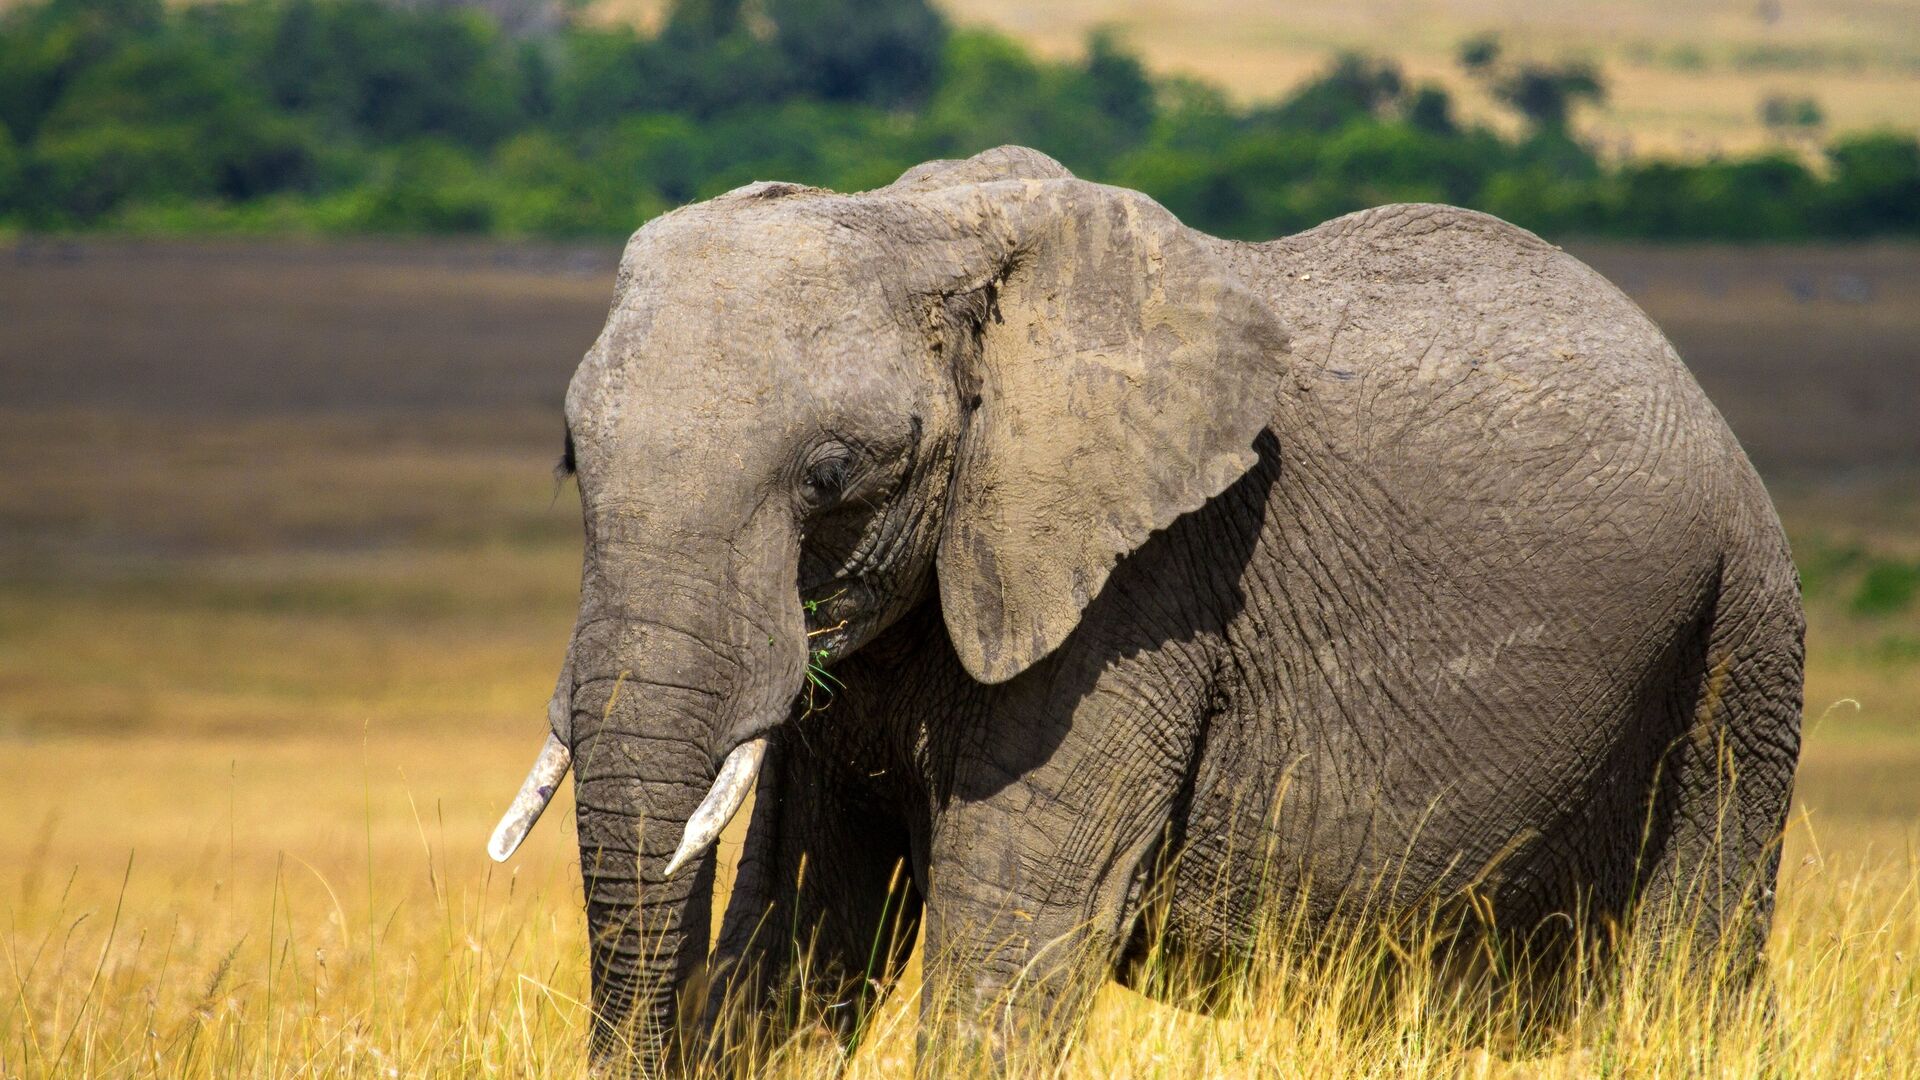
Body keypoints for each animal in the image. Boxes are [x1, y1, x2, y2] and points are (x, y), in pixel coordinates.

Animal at [487, 147, 1804, 1068]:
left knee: (1689, 978)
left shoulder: (1141, 595)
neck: (927, 227)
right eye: (572, 460)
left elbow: (1009, 948)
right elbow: (803, 941)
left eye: (832, 475)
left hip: (1741, 642)